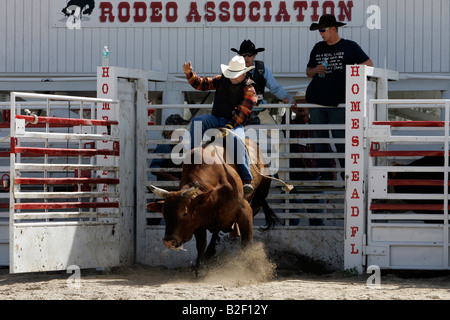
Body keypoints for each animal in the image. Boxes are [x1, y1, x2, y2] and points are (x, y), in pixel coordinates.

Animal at [148, 138, 280, 270]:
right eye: (164, 213)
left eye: (185, 213)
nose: (169, 241)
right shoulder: (198, 222)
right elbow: (201, 246)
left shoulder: (245, 212)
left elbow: (246, 244)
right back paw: (210, 251)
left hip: (259, 198)